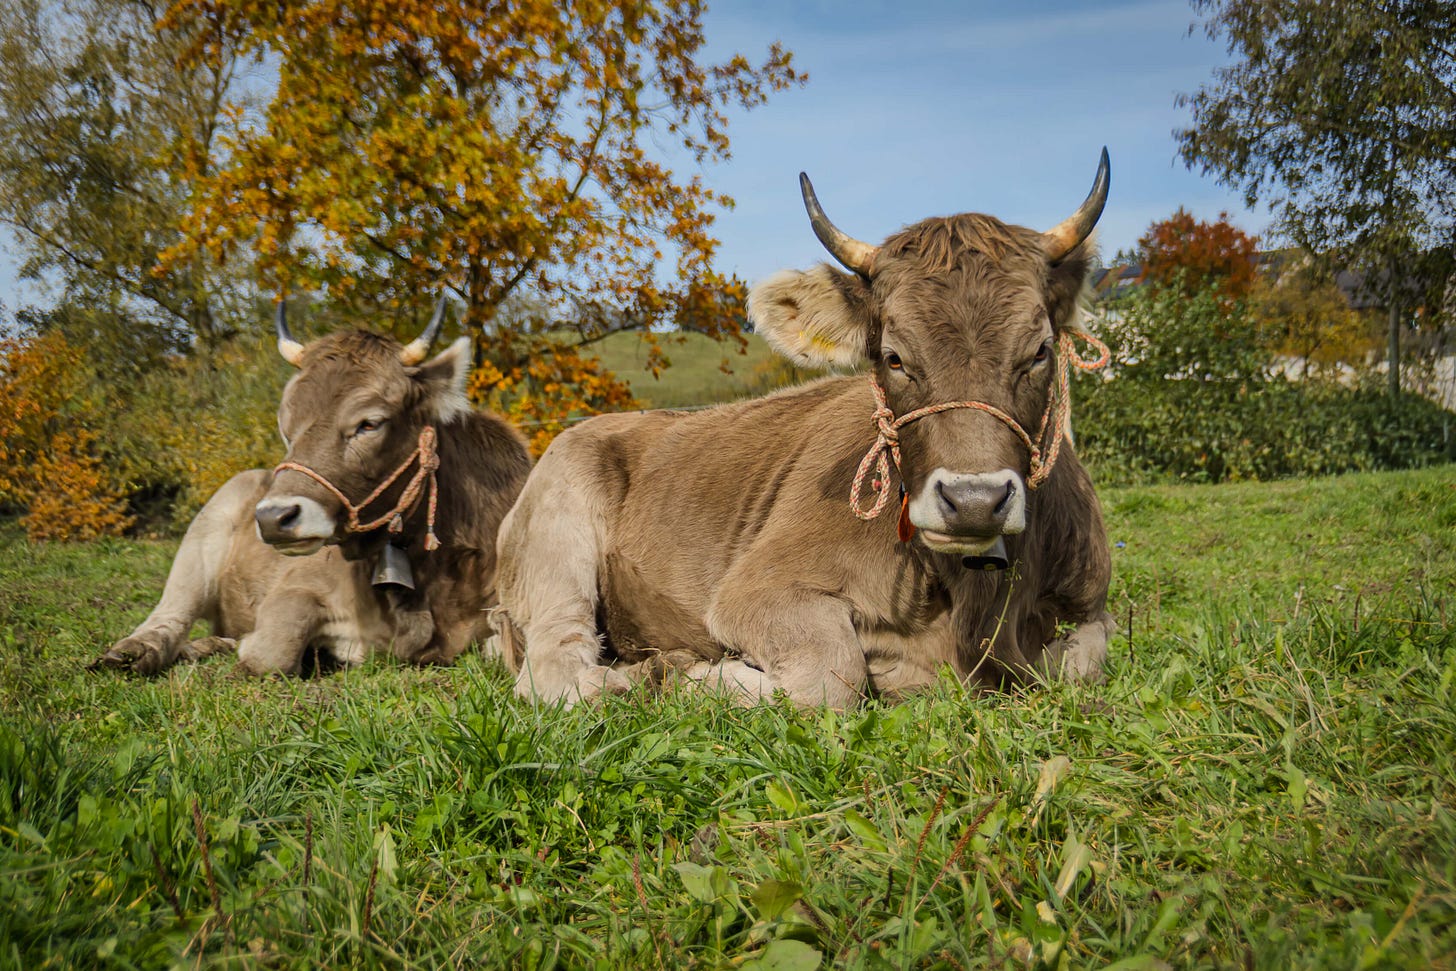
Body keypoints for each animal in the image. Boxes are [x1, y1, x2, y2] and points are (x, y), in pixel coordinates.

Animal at [92, 299, 532, 677]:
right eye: (286, 426)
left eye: (369, 423)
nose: (273, 517)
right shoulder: (295, 586)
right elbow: (271, 651)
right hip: (205, 533)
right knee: (170, 615)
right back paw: (136, 651)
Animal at [495, 152, 1117, 707]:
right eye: (893, 357)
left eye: (1039, 351)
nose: (973, 501)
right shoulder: (760, 585)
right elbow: (830, 675)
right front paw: (703, 679)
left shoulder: (1092, 604)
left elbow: (1081, 663)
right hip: (555, 536)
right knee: (552, 665)